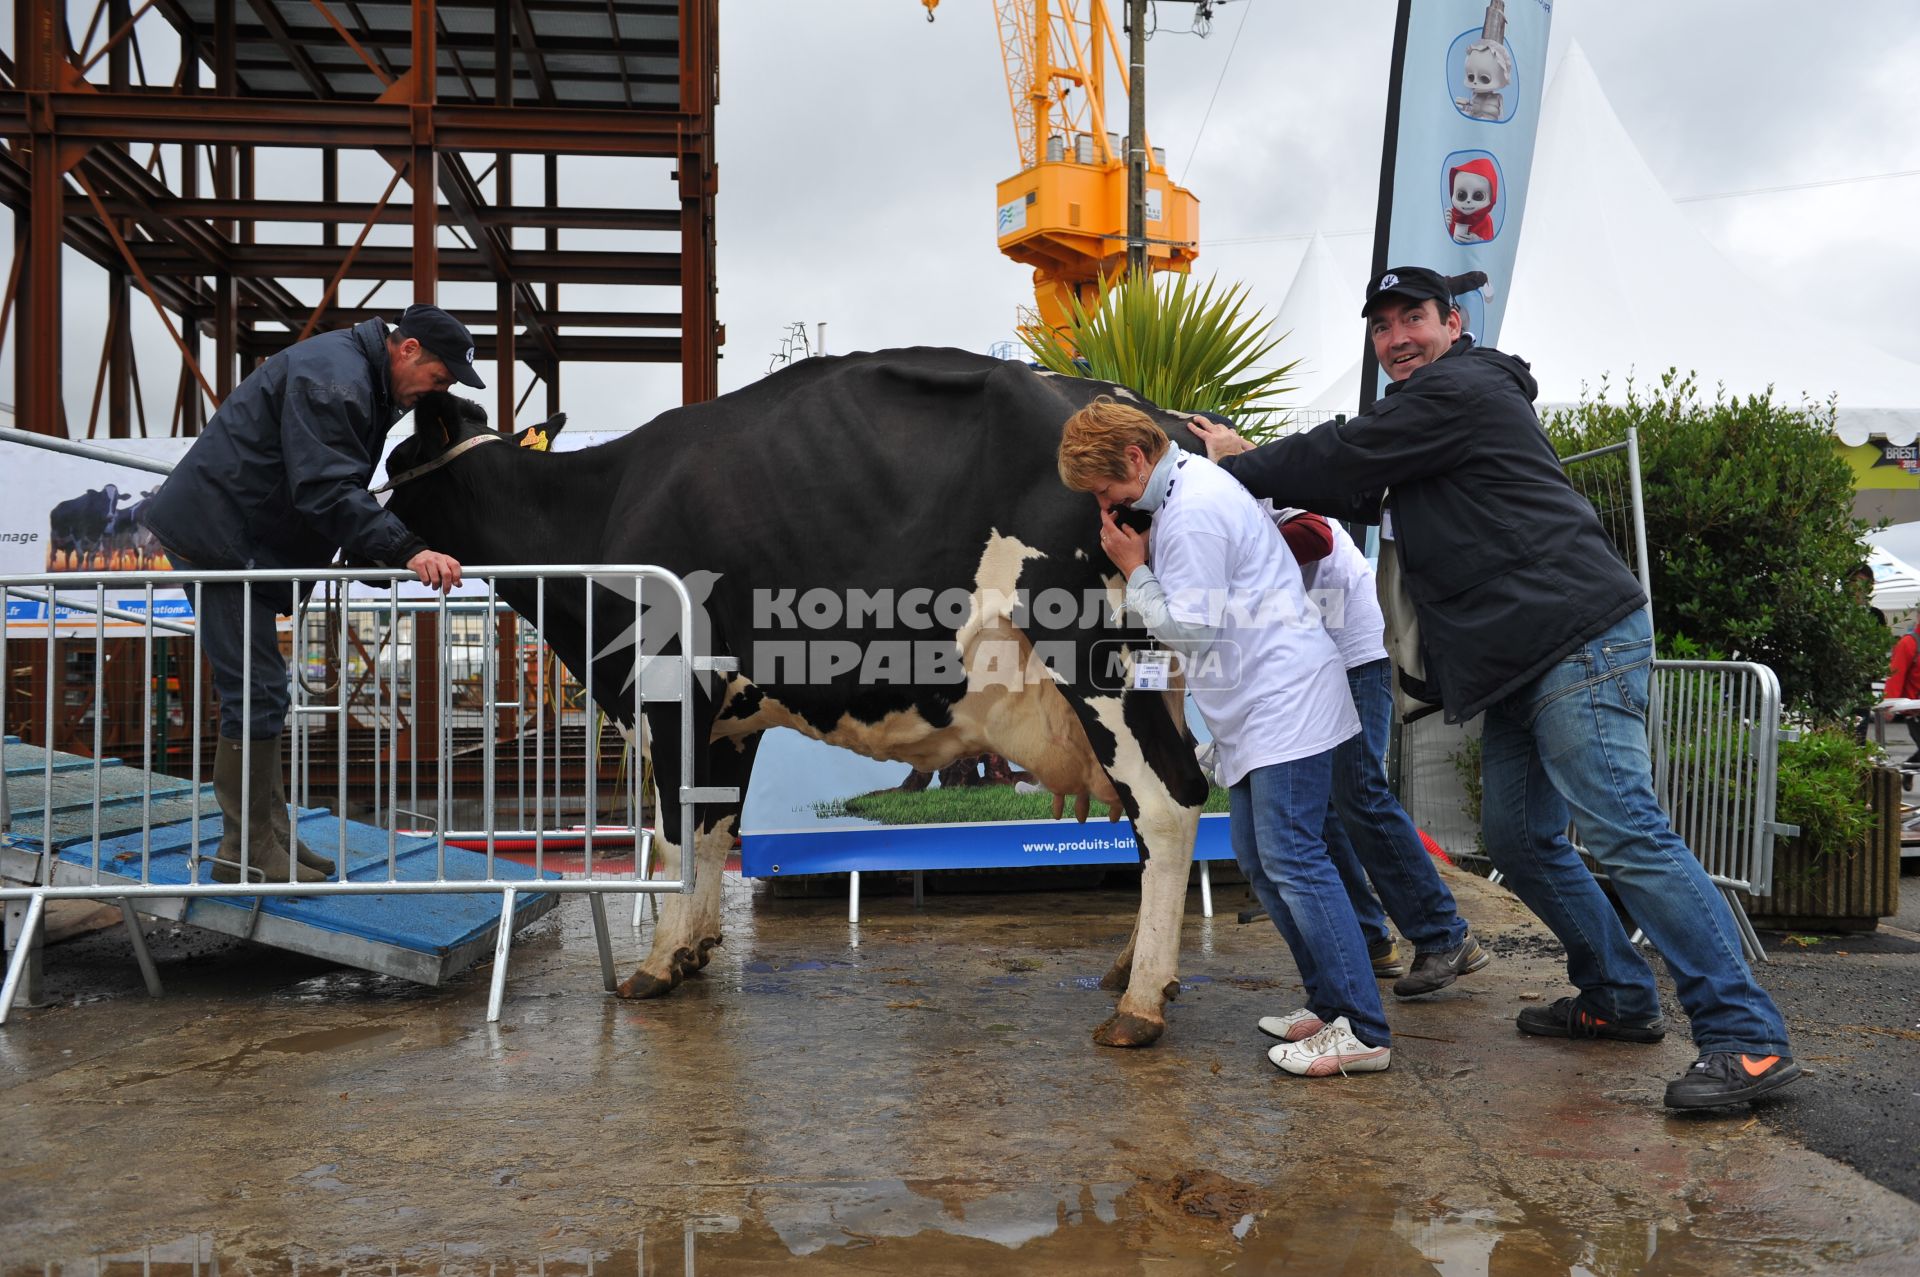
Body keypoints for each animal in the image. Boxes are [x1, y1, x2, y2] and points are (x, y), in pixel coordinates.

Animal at [382, 349, 1205, 1044]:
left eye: (396, 457)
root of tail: (1155, 416)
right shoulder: (733, 718)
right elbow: (714, 827)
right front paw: (695, 946)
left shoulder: (673, 693)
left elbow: (674, 830)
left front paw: (656, 963)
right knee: (1168, 800)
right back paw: (1136, 972)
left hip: (1098, 665)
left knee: (1168, 804)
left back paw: (1140, 1005)